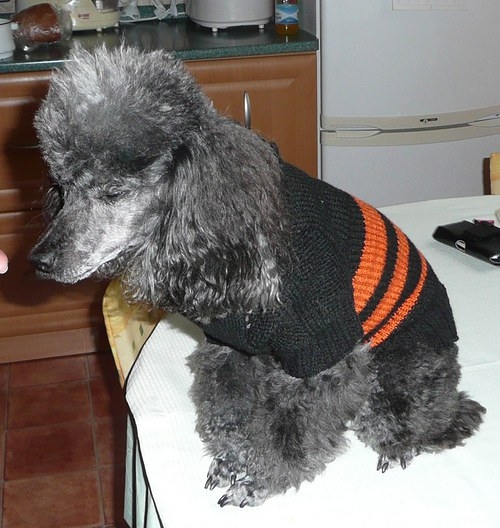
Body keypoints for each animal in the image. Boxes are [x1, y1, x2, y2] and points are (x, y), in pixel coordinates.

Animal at [30, 45, 485, 508]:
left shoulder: (327, 356)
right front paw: (233, 461)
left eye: (113, 193)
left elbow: (291, 431)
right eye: (62, 187)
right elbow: (230, 411)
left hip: (400, 372)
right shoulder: (230, 351)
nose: (39, 261)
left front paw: (261, 478)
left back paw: (404, 439)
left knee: (421, 419)